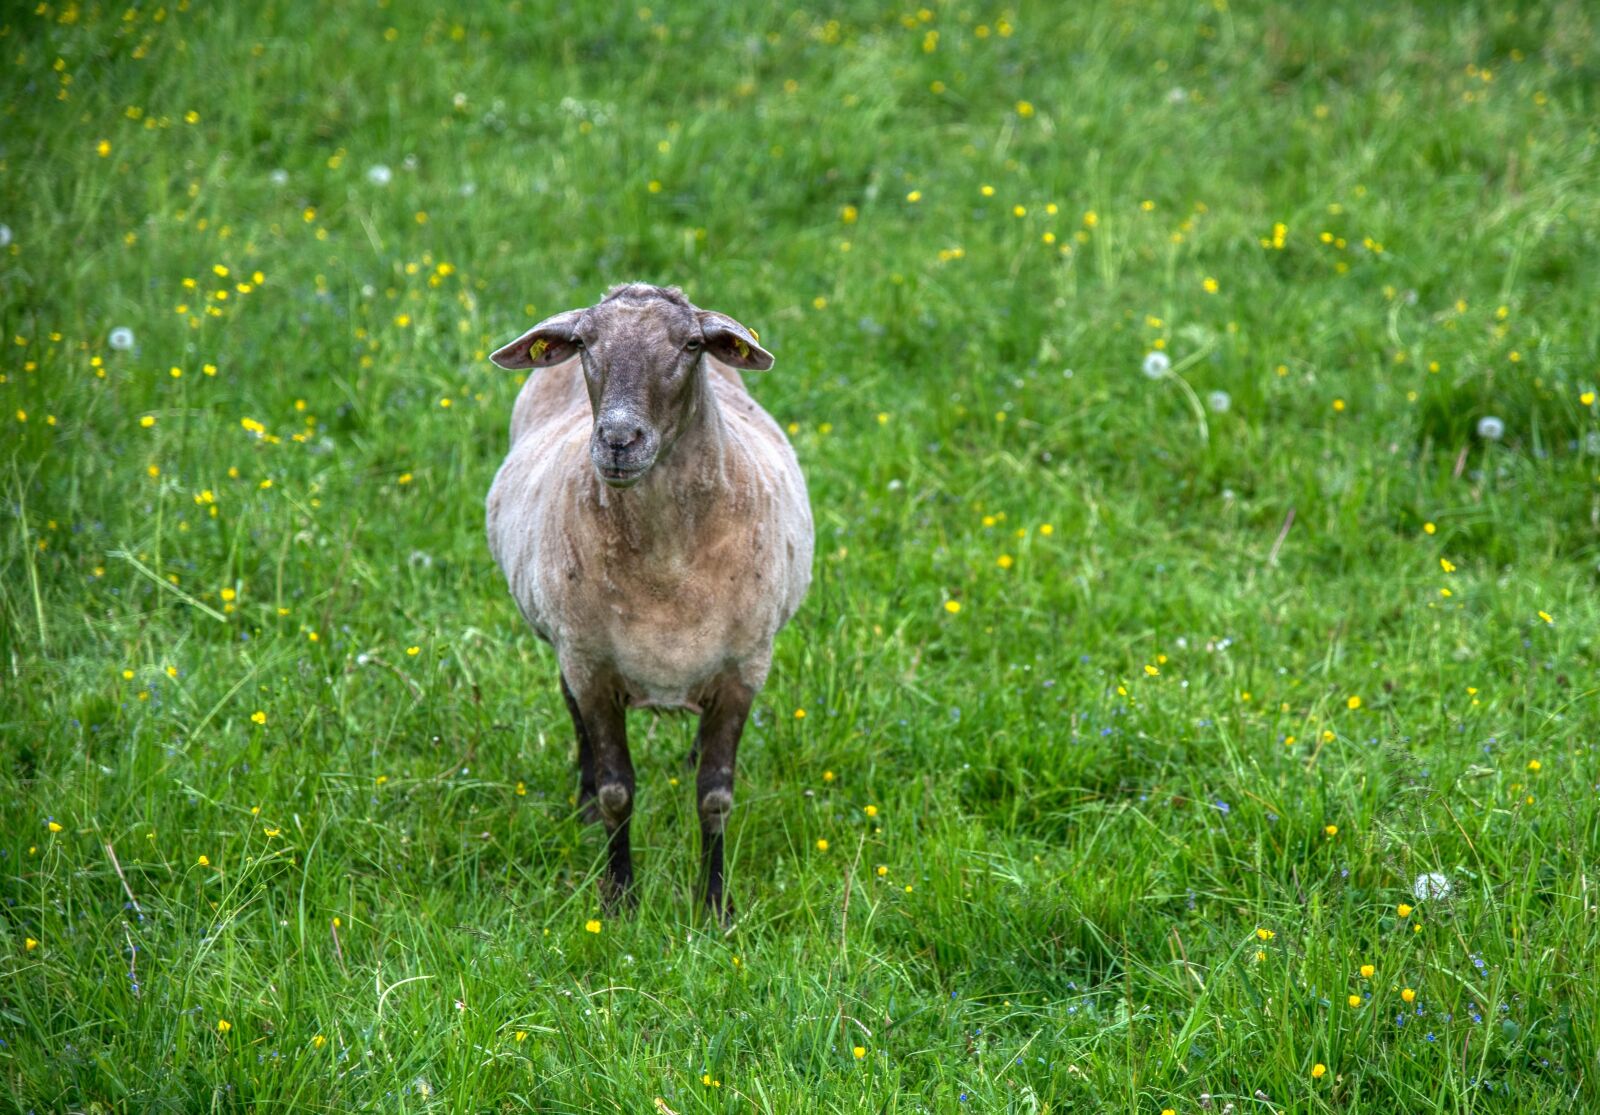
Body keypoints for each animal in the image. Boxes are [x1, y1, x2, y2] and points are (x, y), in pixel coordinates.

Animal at [485, 283, 813, 919]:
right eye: (584, 343)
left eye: (691, 345)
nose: (618, 440)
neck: (668, 569)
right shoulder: (590, 664)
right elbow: (619, 790)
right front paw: (619, 898)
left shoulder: (745, 668)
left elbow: (715, 796)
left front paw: (714, 905)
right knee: (571, 712)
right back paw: (584, 803)